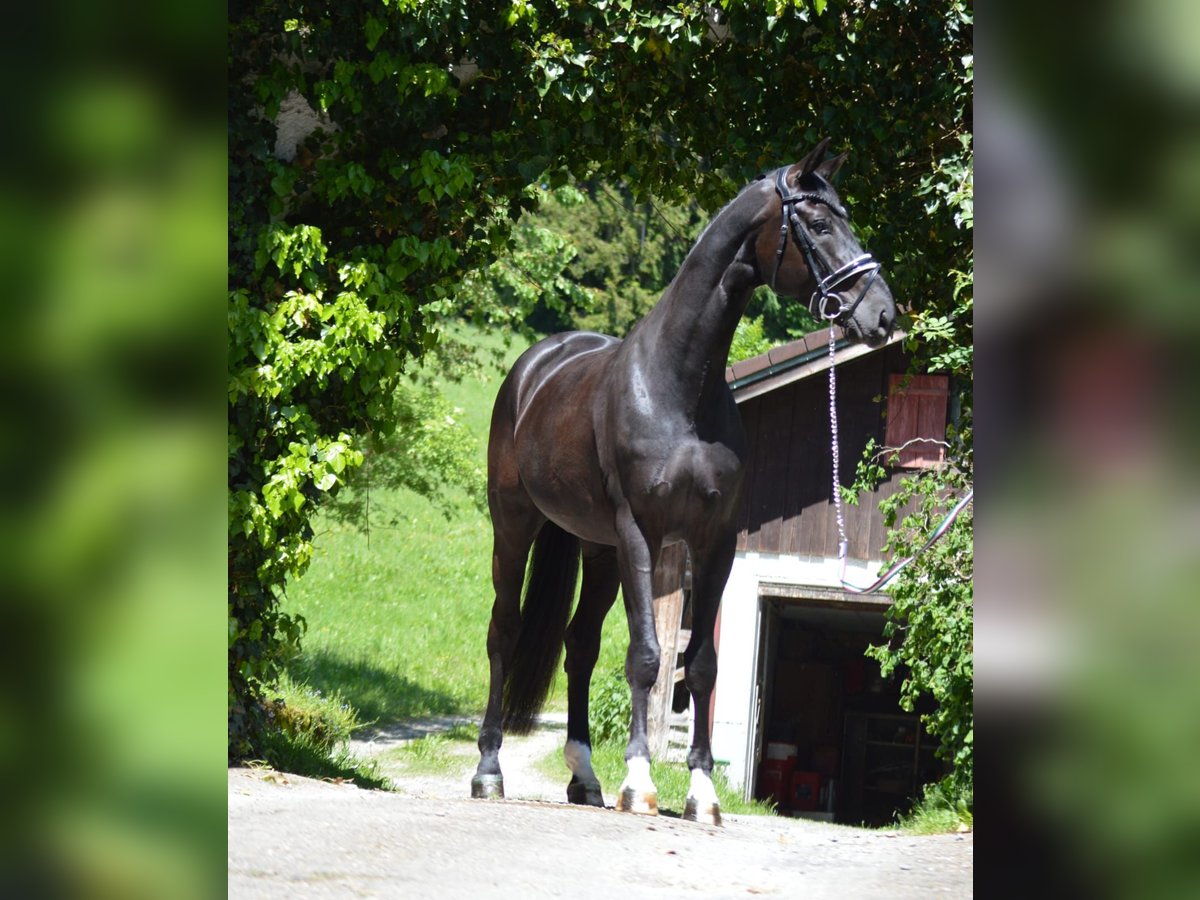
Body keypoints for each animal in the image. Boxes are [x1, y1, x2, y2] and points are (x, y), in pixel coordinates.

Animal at [472, 139, 897, 825]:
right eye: (818, 223)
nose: (883, 312)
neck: (677, 386)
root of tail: (537, 364)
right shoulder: (641, 534)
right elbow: (648, 657)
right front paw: (640, 782)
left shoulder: (715, 541)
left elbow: (699, 667)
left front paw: (701, 792)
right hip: (516, 527)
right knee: (504, 632)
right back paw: (489, 769)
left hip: (598, 551)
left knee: (580, 643)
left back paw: (584, 777)